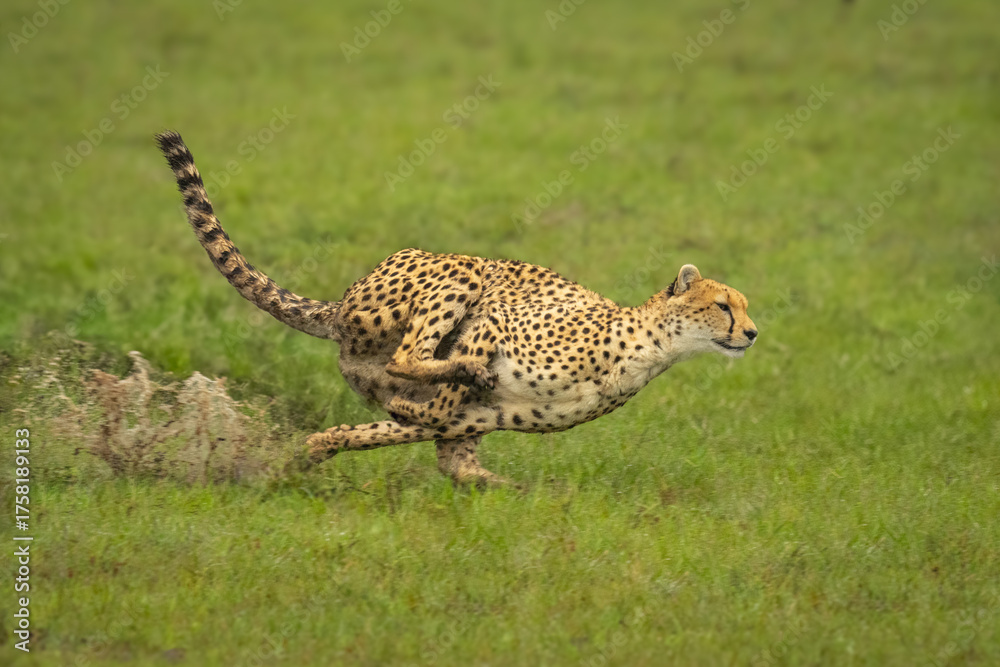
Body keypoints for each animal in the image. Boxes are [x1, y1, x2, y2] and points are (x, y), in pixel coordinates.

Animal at [155, 131, 758, 486]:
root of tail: (342, 302)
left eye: (745, 308)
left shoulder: (484, 419)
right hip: (458, 272)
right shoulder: (495, 323)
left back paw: (320, 448)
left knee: (403, 428)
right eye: (724, 306)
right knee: (407, 357)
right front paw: (460, 377)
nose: (752, 334)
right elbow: (441, 399)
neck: (651, 347)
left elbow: (448, 450)